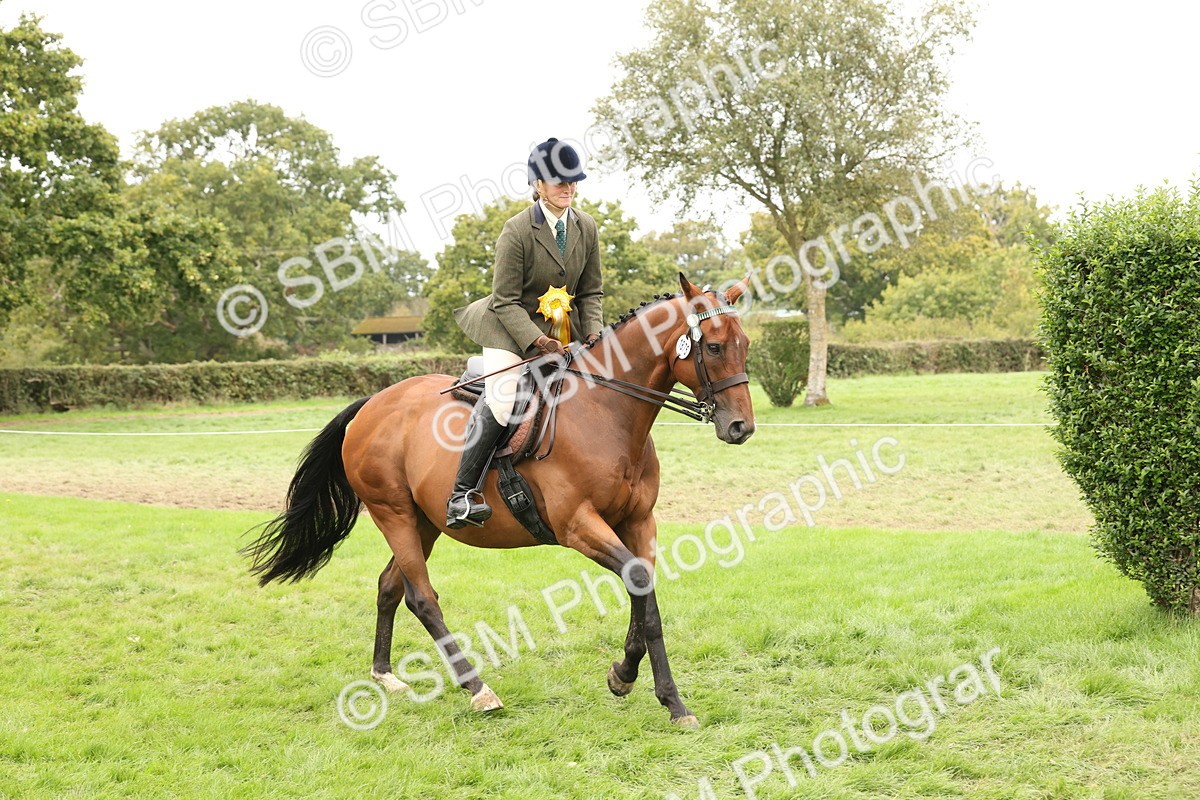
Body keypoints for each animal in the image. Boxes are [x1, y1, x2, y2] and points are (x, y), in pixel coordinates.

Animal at [242, 273, 756, 728]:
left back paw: (386, 676)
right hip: (394, 515)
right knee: (421, 597)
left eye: (746, 344)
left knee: (390, 586)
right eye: (713, 347)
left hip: (424, 522)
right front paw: (670, 700)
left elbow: (643, 594)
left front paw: (626, 677)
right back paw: (478, 689)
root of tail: (372, 403)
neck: (606, 412)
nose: (741, 428)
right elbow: (639, 587)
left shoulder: (638, 522)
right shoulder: (578, 526)